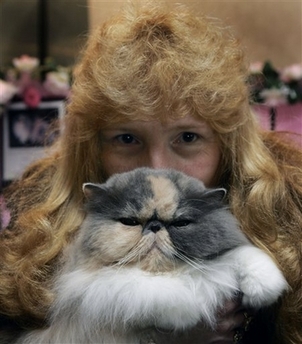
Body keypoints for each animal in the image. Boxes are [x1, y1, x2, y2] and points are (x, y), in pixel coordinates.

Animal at [14, 168, 288, 342]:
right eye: (130, 222)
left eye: (181, 223)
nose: (155, 227)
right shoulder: (98, 287)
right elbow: (150, 292)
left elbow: (244, 255)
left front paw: (262, 290)